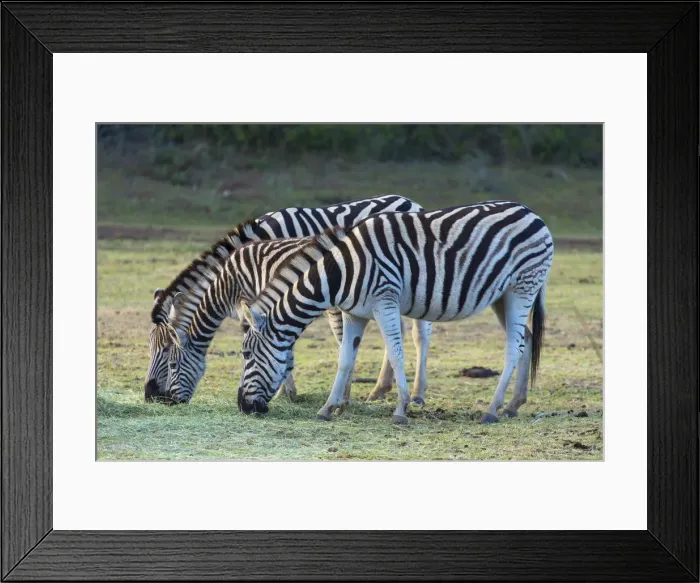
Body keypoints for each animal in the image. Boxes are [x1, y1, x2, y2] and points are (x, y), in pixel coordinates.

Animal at [144, 194, 430, 404]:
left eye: (167, 352)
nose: (150, 396)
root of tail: (409, 201)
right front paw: (284, 388)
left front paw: (284, 390)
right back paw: (380, 389)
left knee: (420, 334)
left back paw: (417, 394)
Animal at [237, 201, 554, 424]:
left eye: (246, 354)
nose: (242, 406)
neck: (341, 272)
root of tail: (531, 213)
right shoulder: (354, 313)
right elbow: (345, 359)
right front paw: (328, 408)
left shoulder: (385, 301)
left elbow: (396, 353)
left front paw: (401, 410)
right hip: (502, 296)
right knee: (526, 339)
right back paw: (513, 405)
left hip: (522, 288)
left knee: (513, 347)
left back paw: (491, 410)